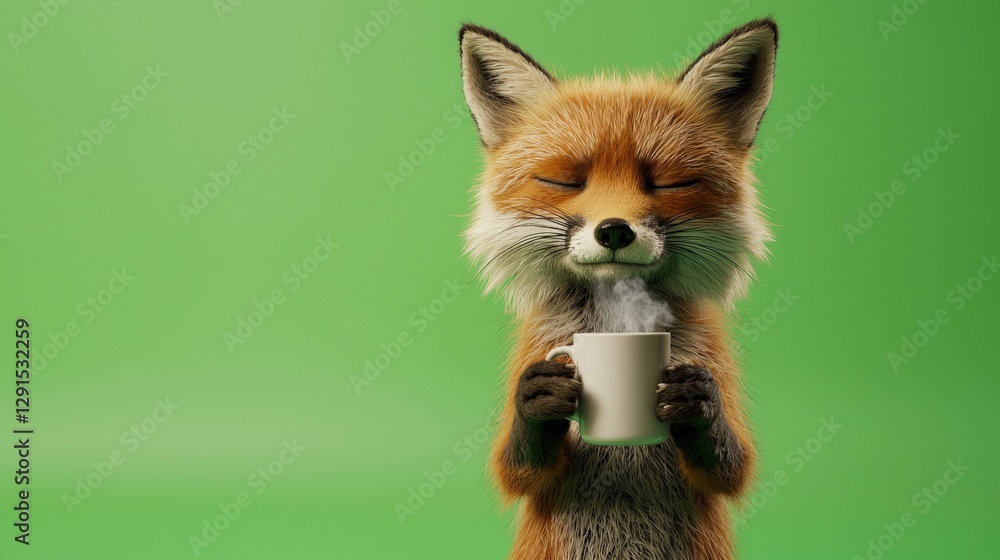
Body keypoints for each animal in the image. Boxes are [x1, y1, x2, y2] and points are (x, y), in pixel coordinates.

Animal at [459, 17, 778, 560]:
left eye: (670, 183)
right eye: (564, 181)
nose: (613, 230)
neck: (615, 322)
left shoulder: (713, 356)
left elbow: (733, 469)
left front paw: (699, 404)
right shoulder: (537, 345)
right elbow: (515, 470)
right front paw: (538, 399)